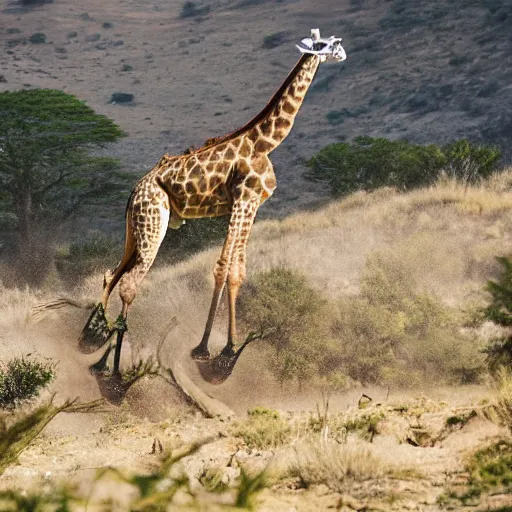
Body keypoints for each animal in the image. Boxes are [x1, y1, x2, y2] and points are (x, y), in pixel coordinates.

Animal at [79, 29, 344, 384]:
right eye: (329, 45)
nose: (343, 54)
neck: (265, 142)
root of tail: (136, 190)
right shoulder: (243, 199)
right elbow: (222, 268)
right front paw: (208, 351)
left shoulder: (251, 205)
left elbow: (237, 272)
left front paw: (227, 353)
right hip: (153, 223)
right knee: (131, 283)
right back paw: (113, 372)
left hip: (134, 229)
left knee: (112, 274)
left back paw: (91, 340)